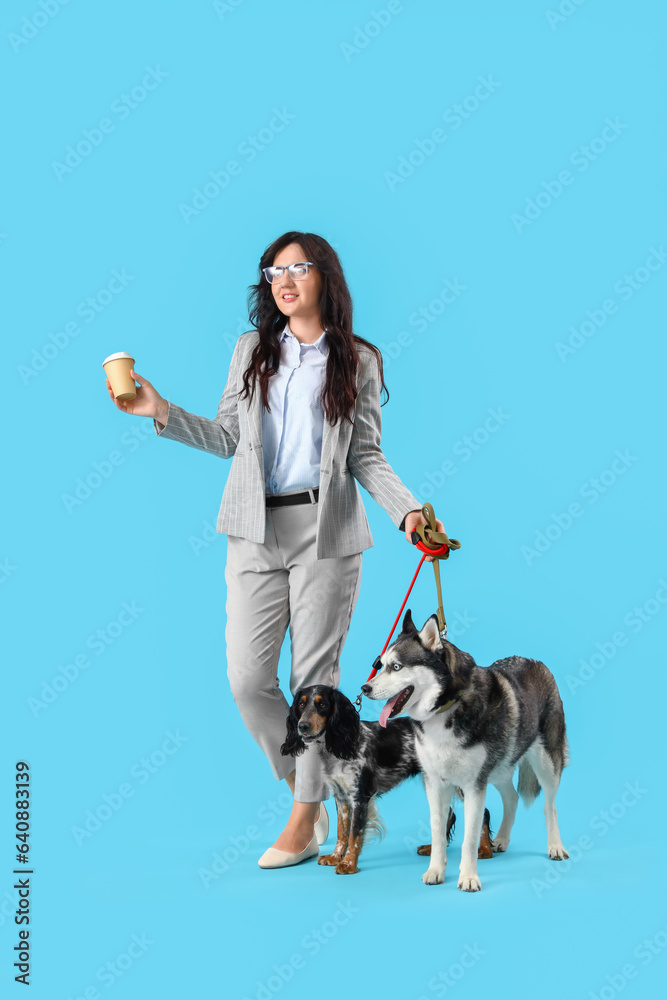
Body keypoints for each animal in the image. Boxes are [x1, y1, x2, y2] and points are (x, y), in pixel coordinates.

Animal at [362, 608, 572, 892]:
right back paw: (502, 839)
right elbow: (438, 831)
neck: (445, 707)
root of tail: (537, 663)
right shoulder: (435, 783)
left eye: (397, 667)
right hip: (499, 767)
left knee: (550, 805)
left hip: (546, 762)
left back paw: (555, 846)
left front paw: (469, 877)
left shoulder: (473, 786)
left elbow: (470, 837)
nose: (365, 688)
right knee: (512, 798)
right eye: (380, 664)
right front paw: (435, 871)